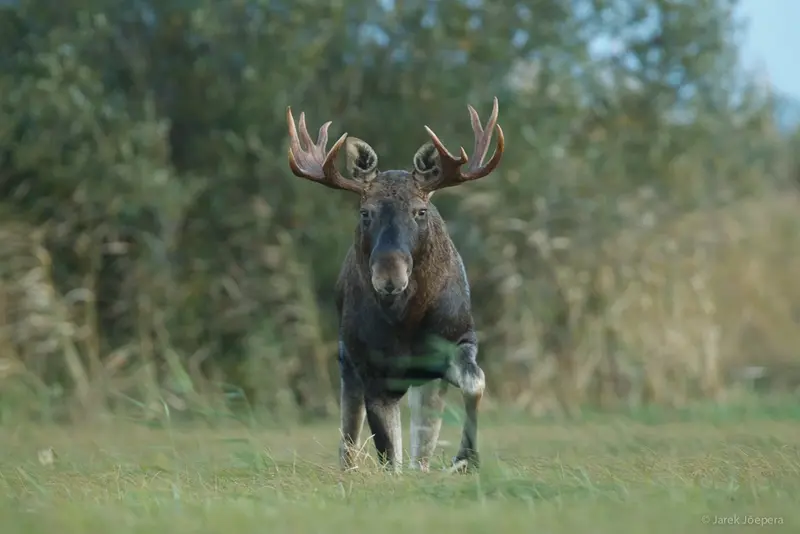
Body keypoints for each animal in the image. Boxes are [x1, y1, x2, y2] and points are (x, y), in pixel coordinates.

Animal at [284, 97, 504, 474]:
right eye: (365, 212)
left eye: (420, 211)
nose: (389, 277)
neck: (408, 323)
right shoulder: (371, 370)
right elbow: (388, 453)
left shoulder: (460, 340)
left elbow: (475, 383)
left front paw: (465, 460)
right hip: (348, 360)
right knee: (349, 434)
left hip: (424, 381)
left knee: (422, 442)